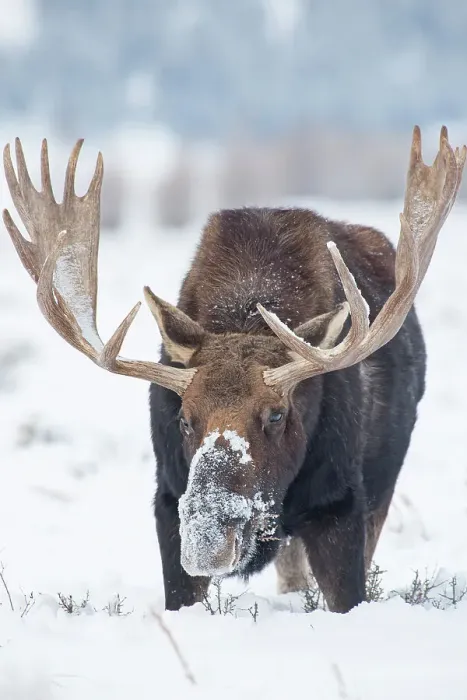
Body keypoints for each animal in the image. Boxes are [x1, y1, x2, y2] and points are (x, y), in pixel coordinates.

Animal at [2, 127, 465, 613]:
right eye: (184, 418)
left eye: (276, 414)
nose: (206, 540)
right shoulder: (167, 502)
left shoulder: (341, 503)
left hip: (382, 482)